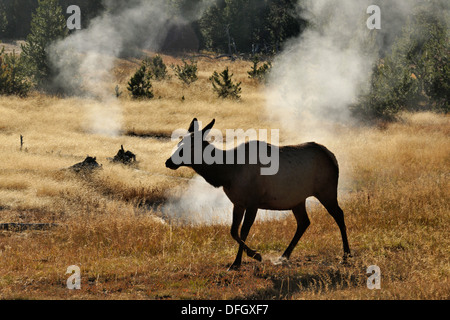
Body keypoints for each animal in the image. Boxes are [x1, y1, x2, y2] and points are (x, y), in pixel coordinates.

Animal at [165, 119, 352, 270]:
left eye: (190, 146)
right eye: (180, 141)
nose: (168, 161)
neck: (227, 173)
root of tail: (333, 157)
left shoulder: (253, 202)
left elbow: (244, 231)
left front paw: (251, 257)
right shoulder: (238, 202)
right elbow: (233, 231)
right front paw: (242, 260)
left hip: (326, 191)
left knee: (339, 214)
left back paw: (346, 255)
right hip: (297, 200)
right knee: (304, 222)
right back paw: (284, 256)